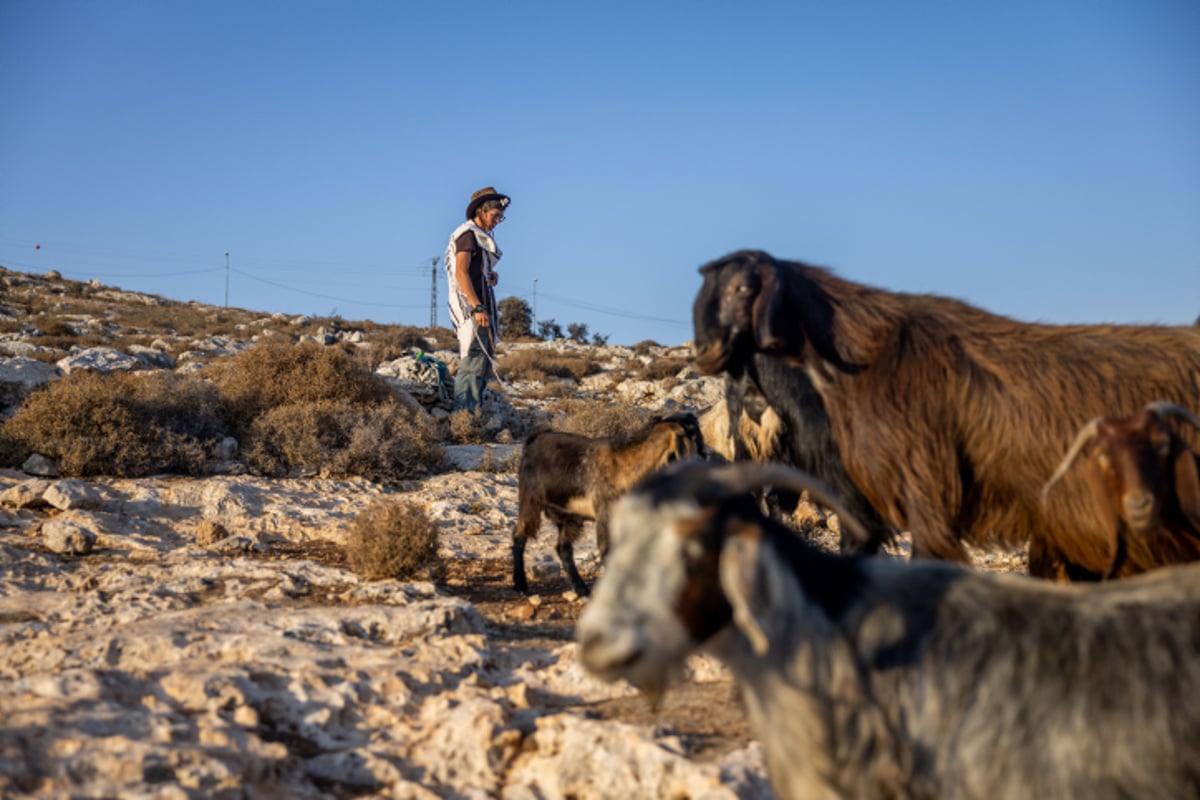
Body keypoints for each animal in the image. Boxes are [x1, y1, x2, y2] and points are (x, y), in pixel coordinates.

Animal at [513, 412, 700, 594]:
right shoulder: (606, 517)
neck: (627, 467)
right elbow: (608, 552)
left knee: (563, 549)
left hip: (569, 517)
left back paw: (581, 589)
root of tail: (536, 438)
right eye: (691, 438)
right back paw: (521, 585)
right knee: (519, 535)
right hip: (530, 501)